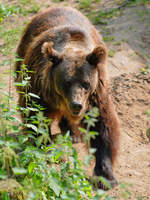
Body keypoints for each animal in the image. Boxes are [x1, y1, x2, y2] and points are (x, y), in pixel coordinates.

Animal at [14, 6, 120, 191]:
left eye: (85, 84)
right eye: (66, 82)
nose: (77, 105)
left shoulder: (96, 95)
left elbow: (103, 127)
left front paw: (105, 177)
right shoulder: (38, 88)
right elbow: (34, 116)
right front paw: (44, 148)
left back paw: (73, 134)